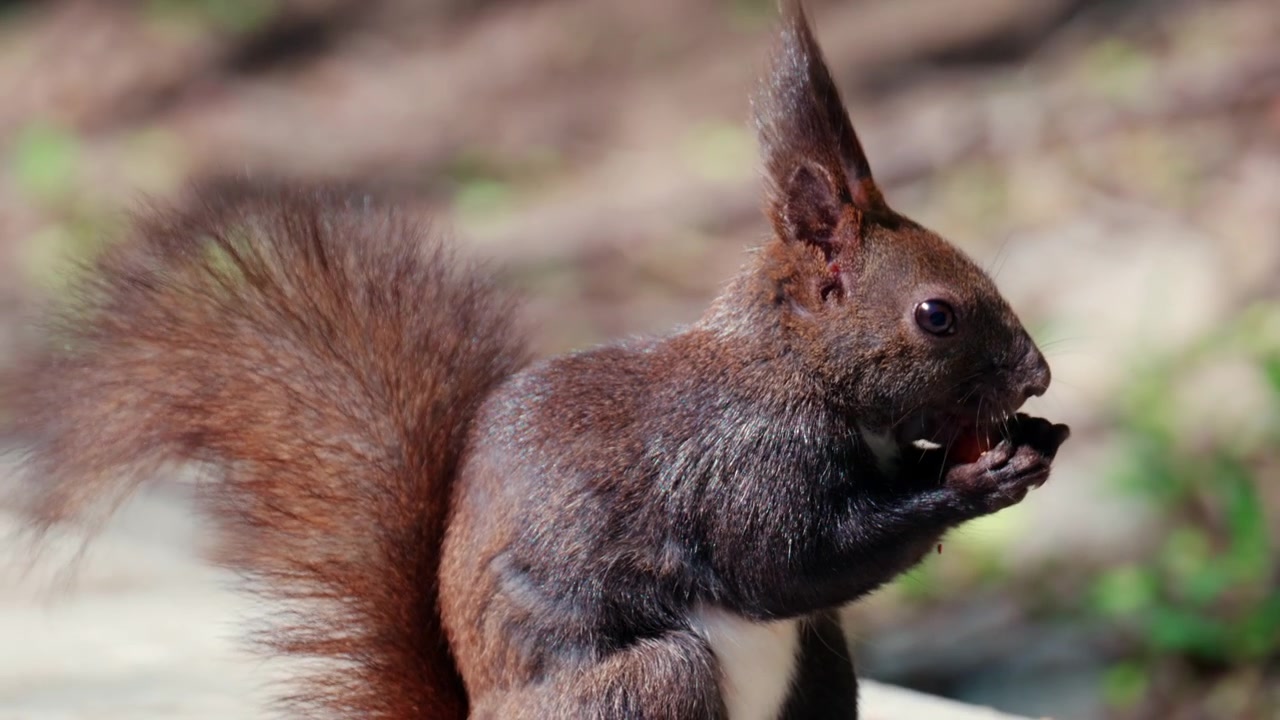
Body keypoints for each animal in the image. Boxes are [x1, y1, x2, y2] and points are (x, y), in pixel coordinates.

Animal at [4, 3, 1069, 719]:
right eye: (936, 315)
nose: (1039, 377)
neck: (790, 373)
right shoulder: (739, 466)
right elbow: (788, 565)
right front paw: (980, 478)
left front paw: (1034, 437)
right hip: (648, 685)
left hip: (819, 666)